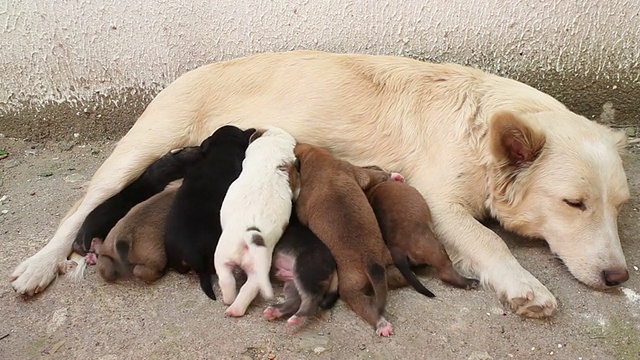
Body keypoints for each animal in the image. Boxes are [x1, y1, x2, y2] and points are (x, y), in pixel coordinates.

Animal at [212, 126, 298, 318]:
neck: (272, 144)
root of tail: (250, 233)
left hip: (222, 256)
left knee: (229, 281)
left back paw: (230, 305)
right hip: (256, 267)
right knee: (243, 287)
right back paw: (234, 307)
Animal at [292, 143, 402, 338]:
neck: (317, 158)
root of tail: (371, 261)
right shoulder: (357, 172)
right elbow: (374, 175)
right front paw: (394, 176)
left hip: (349, 287)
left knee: (362, 304)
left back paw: (381, 324)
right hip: (388, 263)